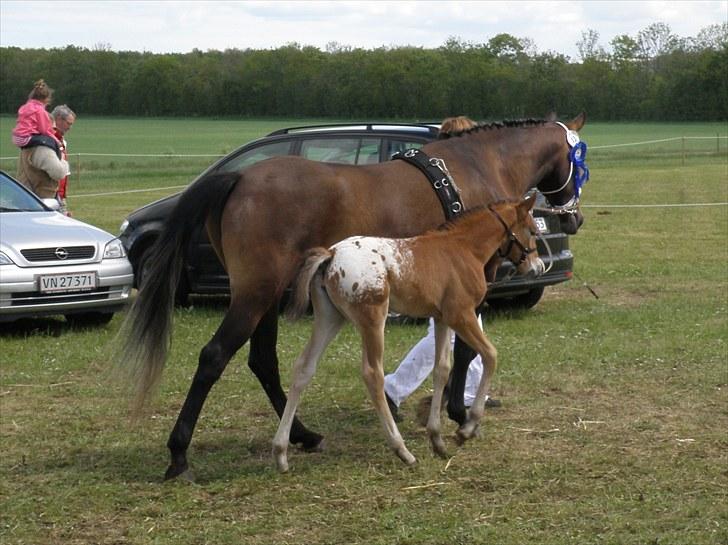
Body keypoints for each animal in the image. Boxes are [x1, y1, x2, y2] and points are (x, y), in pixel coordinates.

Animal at [272, 198, 540, 470]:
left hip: (330, 317)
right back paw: (402, 450)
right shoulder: (461, 315)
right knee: (373, 374)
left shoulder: (442, 319)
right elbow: (490, 355)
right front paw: (466, 428)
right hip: (373, 319)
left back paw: (281, 452)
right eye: (532, 231)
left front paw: (437, 438)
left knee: (304, 367)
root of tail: (331, 254)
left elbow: (442, 368)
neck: (462, 249)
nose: (537, 266)